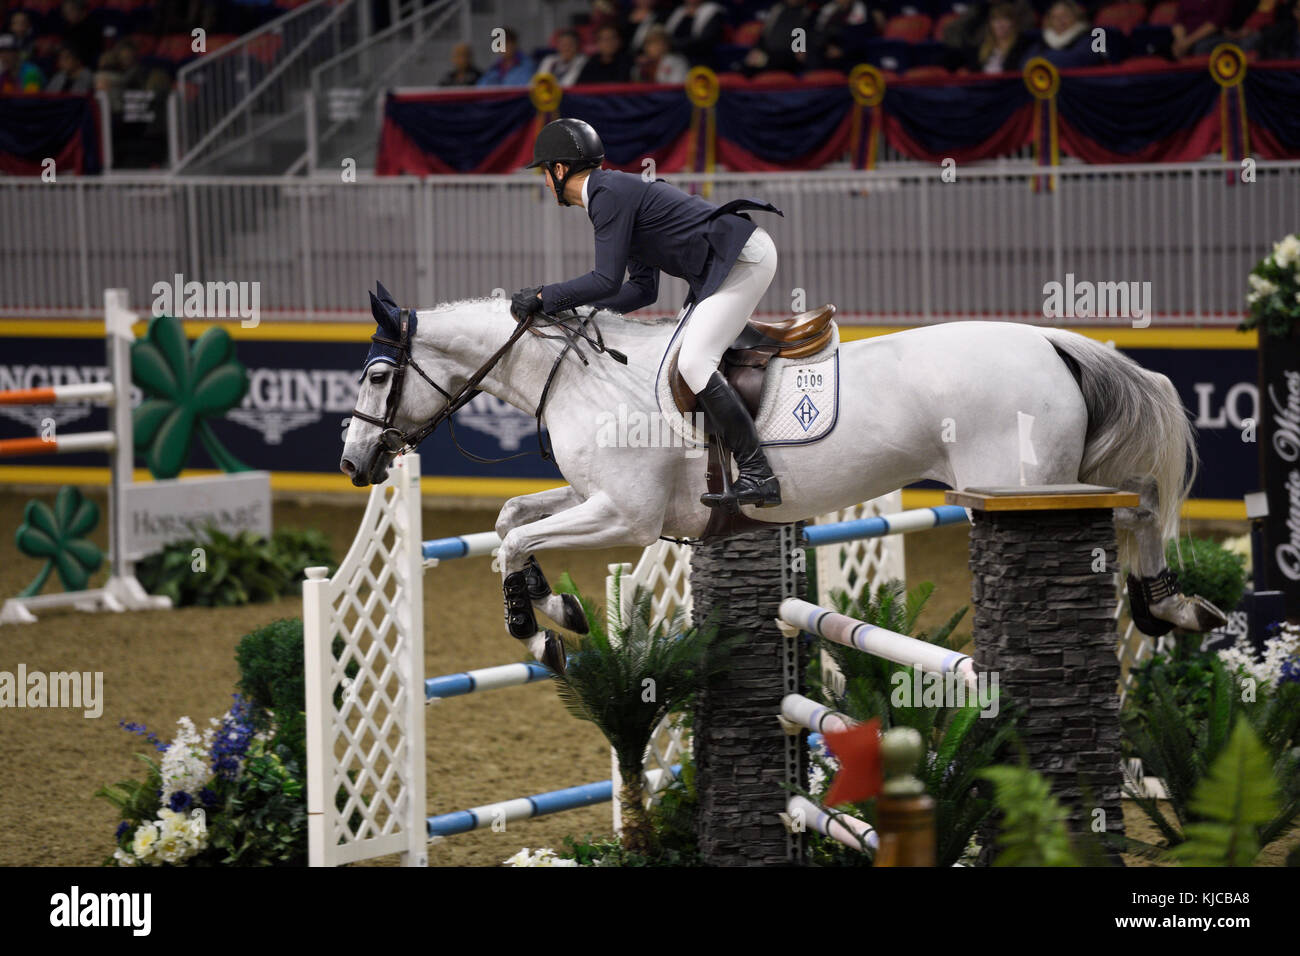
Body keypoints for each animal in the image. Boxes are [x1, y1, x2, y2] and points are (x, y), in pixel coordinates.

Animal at [340, 287, 1222, 671]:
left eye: (379, 376)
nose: (354, 464)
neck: (578, 377)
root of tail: (1055, 343)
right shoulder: (600, 502)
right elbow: (511, 520)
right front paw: (555, 608)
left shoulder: (624, 516)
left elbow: (512, 538)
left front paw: (539, 624)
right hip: (1065, 477)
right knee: (1144, 508)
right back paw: (1169, 607)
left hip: (1024, 488)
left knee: (1138, 509)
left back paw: (1165, 607)